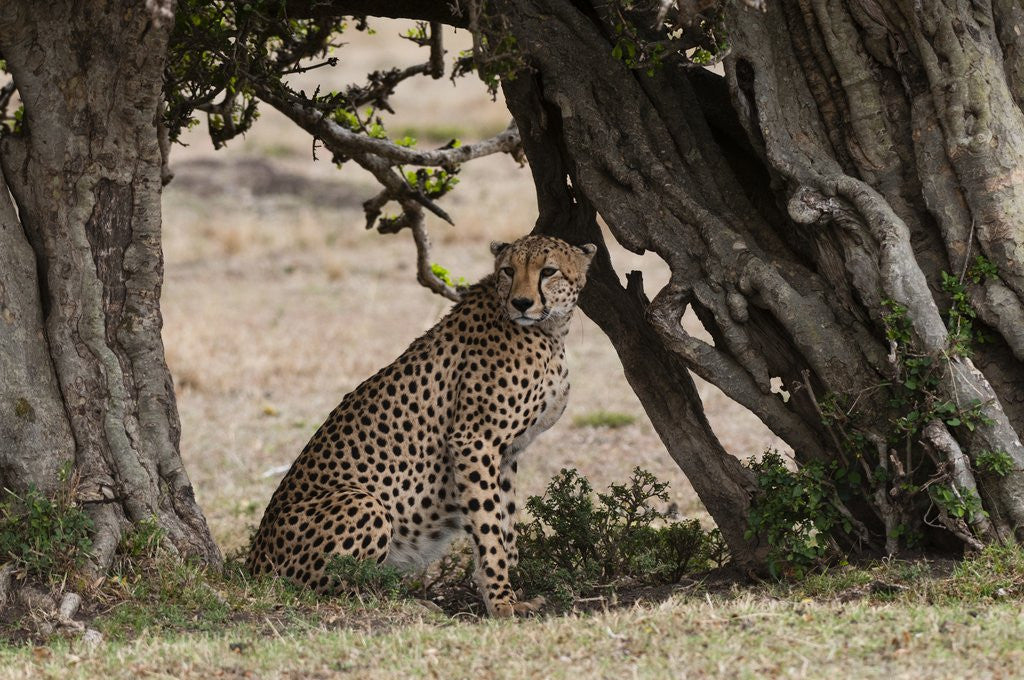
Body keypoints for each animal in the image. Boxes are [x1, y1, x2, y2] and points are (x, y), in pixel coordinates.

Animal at [246, 234, 596, 617]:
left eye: (548, 271)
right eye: (508, 270)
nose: (521, 302)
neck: (550, 331)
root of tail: (252, 564)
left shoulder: (506, 452)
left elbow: (505, 523)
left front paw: (511, 586)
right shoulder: (474, 441)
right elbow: (489, 529)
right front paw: (502, 603)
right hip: (365, 503)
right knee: (331, 587)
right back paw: (407, 603)